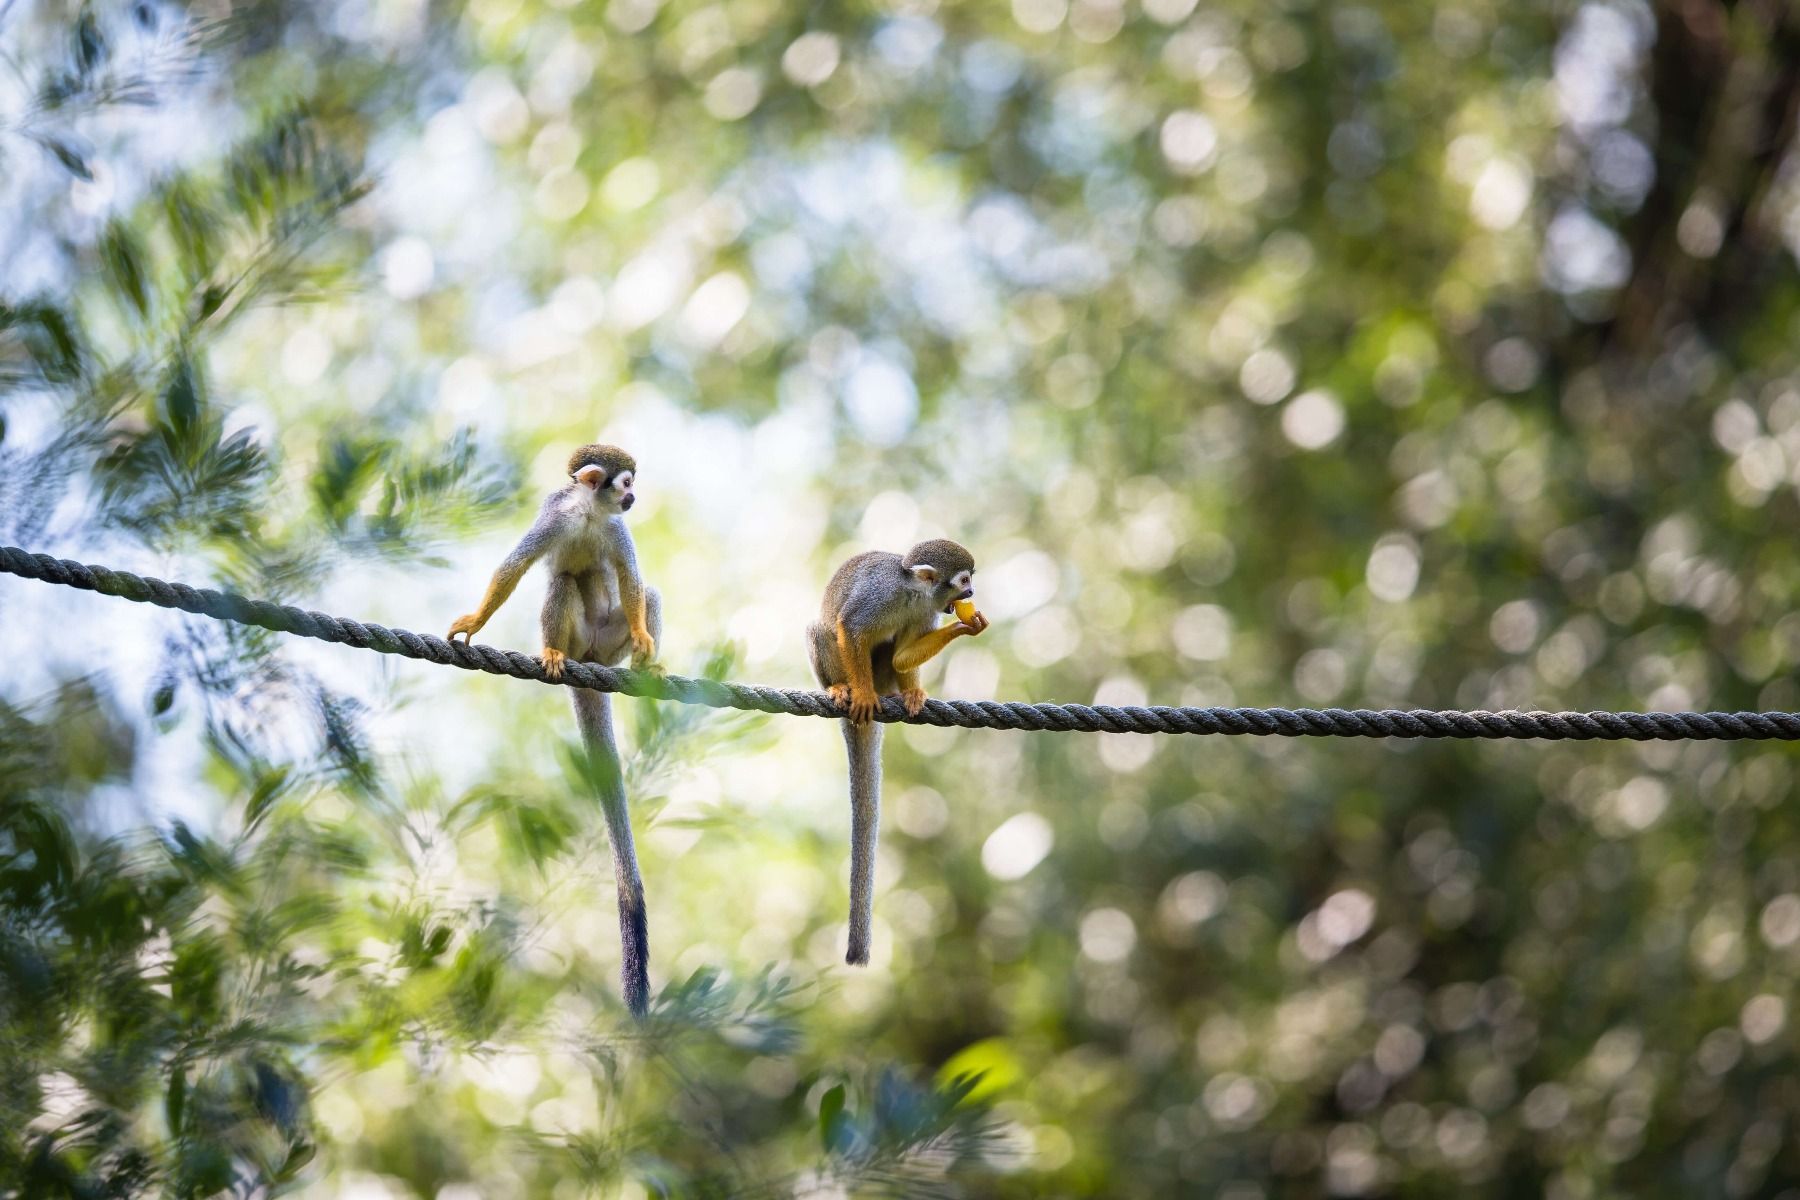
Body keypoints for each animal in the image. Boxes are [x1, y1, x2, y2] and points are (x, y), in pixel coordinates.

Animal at [447, 443, 661, 1016]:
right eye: (626, 483)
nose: (633, 499)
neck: (589, 514)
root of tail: (592, 661)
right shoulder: (555, 516)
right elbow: (516, 567)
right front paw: (475, 622)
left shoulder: (617, 531)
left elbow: (630, 579)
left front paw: (643, 636)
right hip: (582, 638)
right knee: (561, 582)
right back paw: (552, 653)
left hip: (607, 647)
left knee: (645, 592)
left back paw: (646, 663)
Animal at [807, 538, 989, 966]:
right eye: (964, 581)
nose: (972, 593)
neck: (913, 593)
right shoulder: (880, 595)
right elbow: (850, 627)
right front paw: (861, 693)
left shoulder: (927, 611)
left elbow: (902, 654)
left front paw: (964, 626)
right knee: (823, 628)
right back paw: (845, 689)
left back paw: (906, 693)